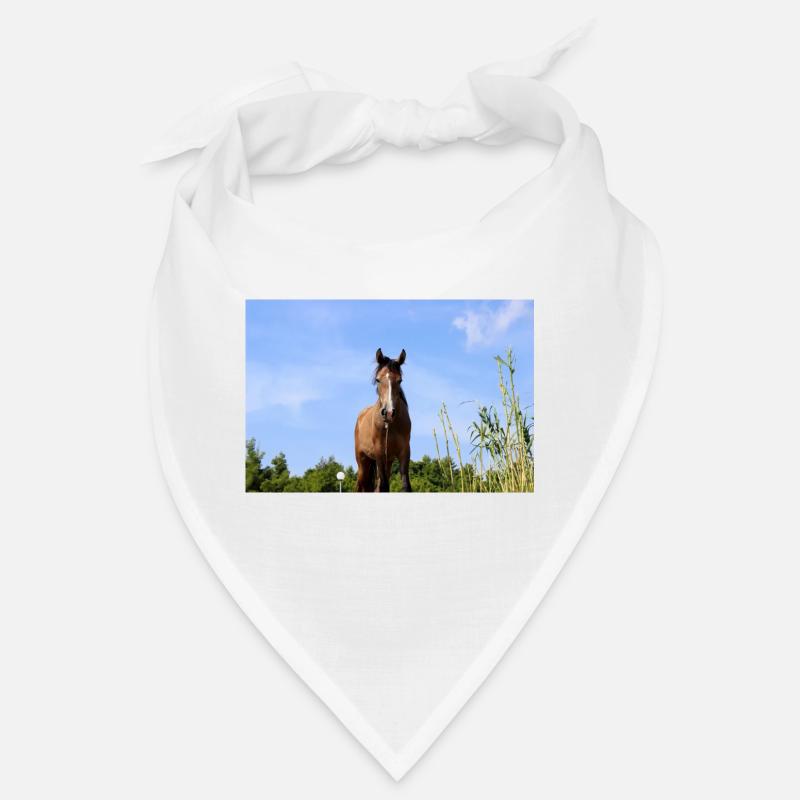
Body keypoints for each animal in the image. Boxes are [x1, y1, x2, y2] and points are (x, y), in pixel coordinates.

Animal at [354, 348, 412, 492]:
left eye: (400, 380)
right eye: (378, 380)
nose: (389, 413)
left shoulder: (404, 452)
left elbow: (405, 486)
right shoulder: (379, 453)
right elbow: (384, 486)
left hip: (388, 461)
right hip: (363, 462)